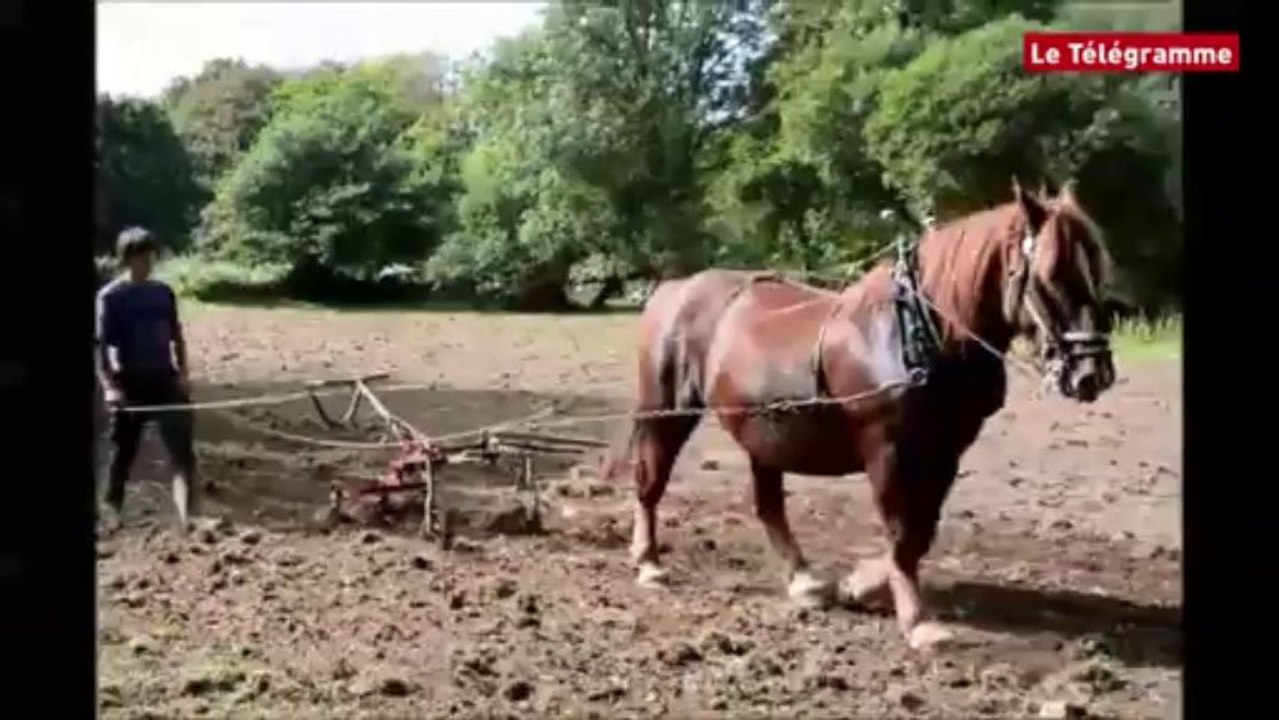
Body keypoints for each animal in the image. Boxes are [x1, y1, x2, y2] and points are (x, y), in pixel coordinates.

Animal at [606, 179, 1116, 650]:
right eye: (1051, 273)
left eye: (1097, 271)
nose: (1093, 373)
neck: (918, 332)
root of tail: (674, 289)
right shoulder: (887, 450)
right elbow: (901, 531)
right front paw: (916, 619)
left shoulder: (945, 452)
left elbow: (921, 530)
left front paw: (862, 584)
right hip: (667, 410)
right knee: (650, 481)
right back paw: (649, 562)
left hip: (763, 432)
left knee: (768, 506)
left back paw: (804, 580)